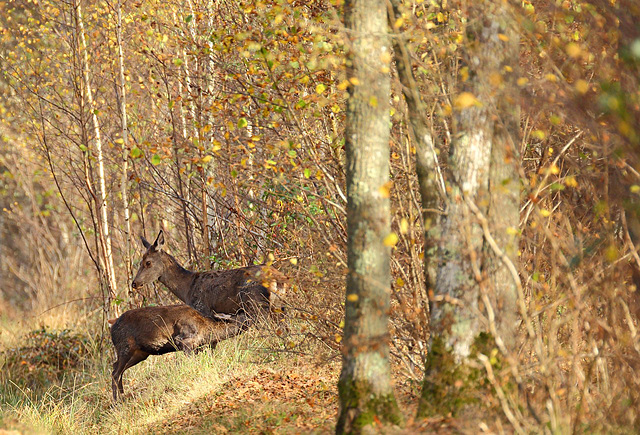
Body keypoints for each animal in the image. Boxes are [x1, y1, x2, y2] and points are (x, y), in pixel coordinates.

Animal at [110, 304, 245, 400]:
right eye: (242, 315)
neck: (206, 332)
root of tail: (112, 328)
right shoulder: (183, 341)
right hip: (125, 347)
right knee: (115, 373)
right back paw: (117, 401)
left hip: (140, 353)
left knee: (116, 367)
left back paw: (122, 396)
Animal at [130, 232, 288, 320]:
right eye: (140, 261)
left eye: (148, 262)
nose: (134, 283)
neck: (187, 288)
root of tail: (279, 279)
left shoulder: (203, 308)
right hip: (279, 306)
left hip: (256, 304)